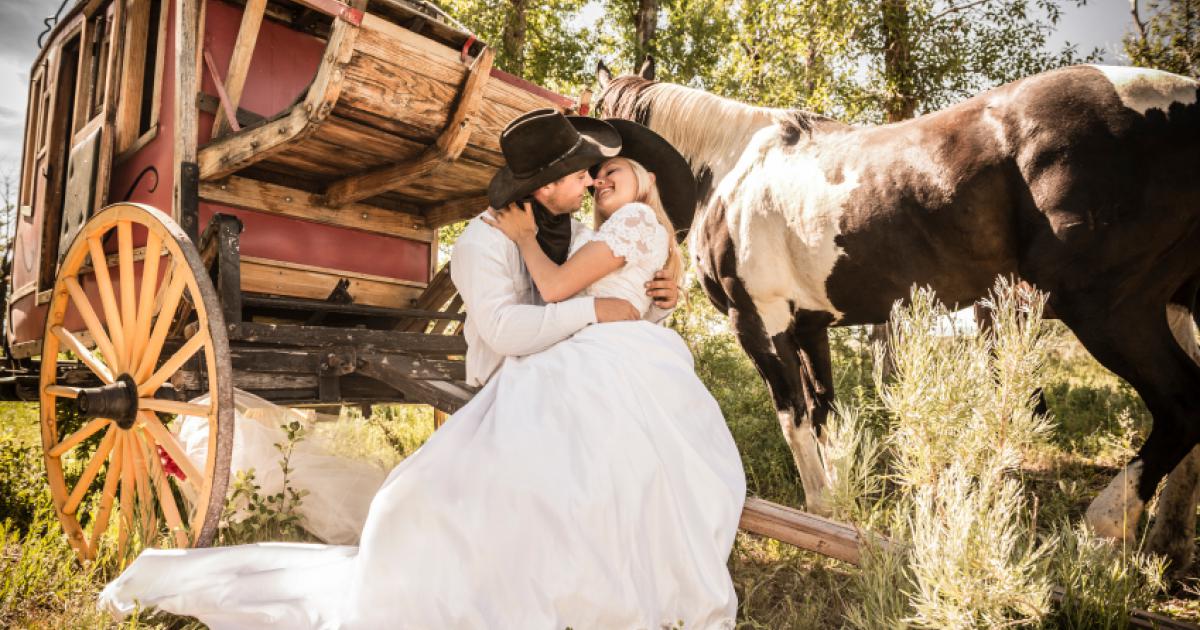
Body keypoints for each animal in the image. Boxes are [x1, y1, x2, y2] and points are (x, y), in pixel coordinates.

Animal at [597, 61, 1200, 566]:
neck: (731, 167)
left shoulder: (759, 323)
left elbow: (794, 417)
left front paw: (819, 507)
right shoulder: (810, 326)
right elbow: (826, 413)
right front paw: (842, 504)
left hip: (1111, 311)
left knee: (1180, 407)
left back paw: (1103, 526)